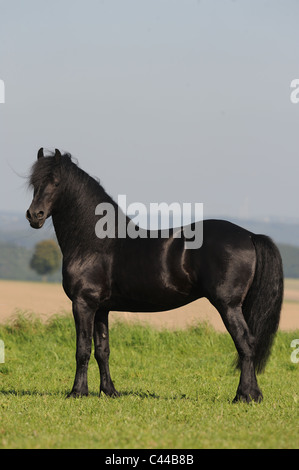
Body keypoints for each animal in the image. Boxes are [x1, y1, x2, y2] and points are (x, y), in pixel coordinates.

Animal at [25, 149, 284, 402]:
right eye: (34, 183)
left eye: (56, 182)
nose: (34, 215)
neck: (95, 242)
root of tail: (250, 235)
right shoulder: (101, 308)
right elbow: (102, 350)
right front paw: (109, 391)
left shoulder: (83, 304)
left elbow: (82, 349)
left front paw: (77, 392)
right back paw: (252, 394)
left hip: (228, 306)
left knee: (245, 343)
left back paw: (244, 395)